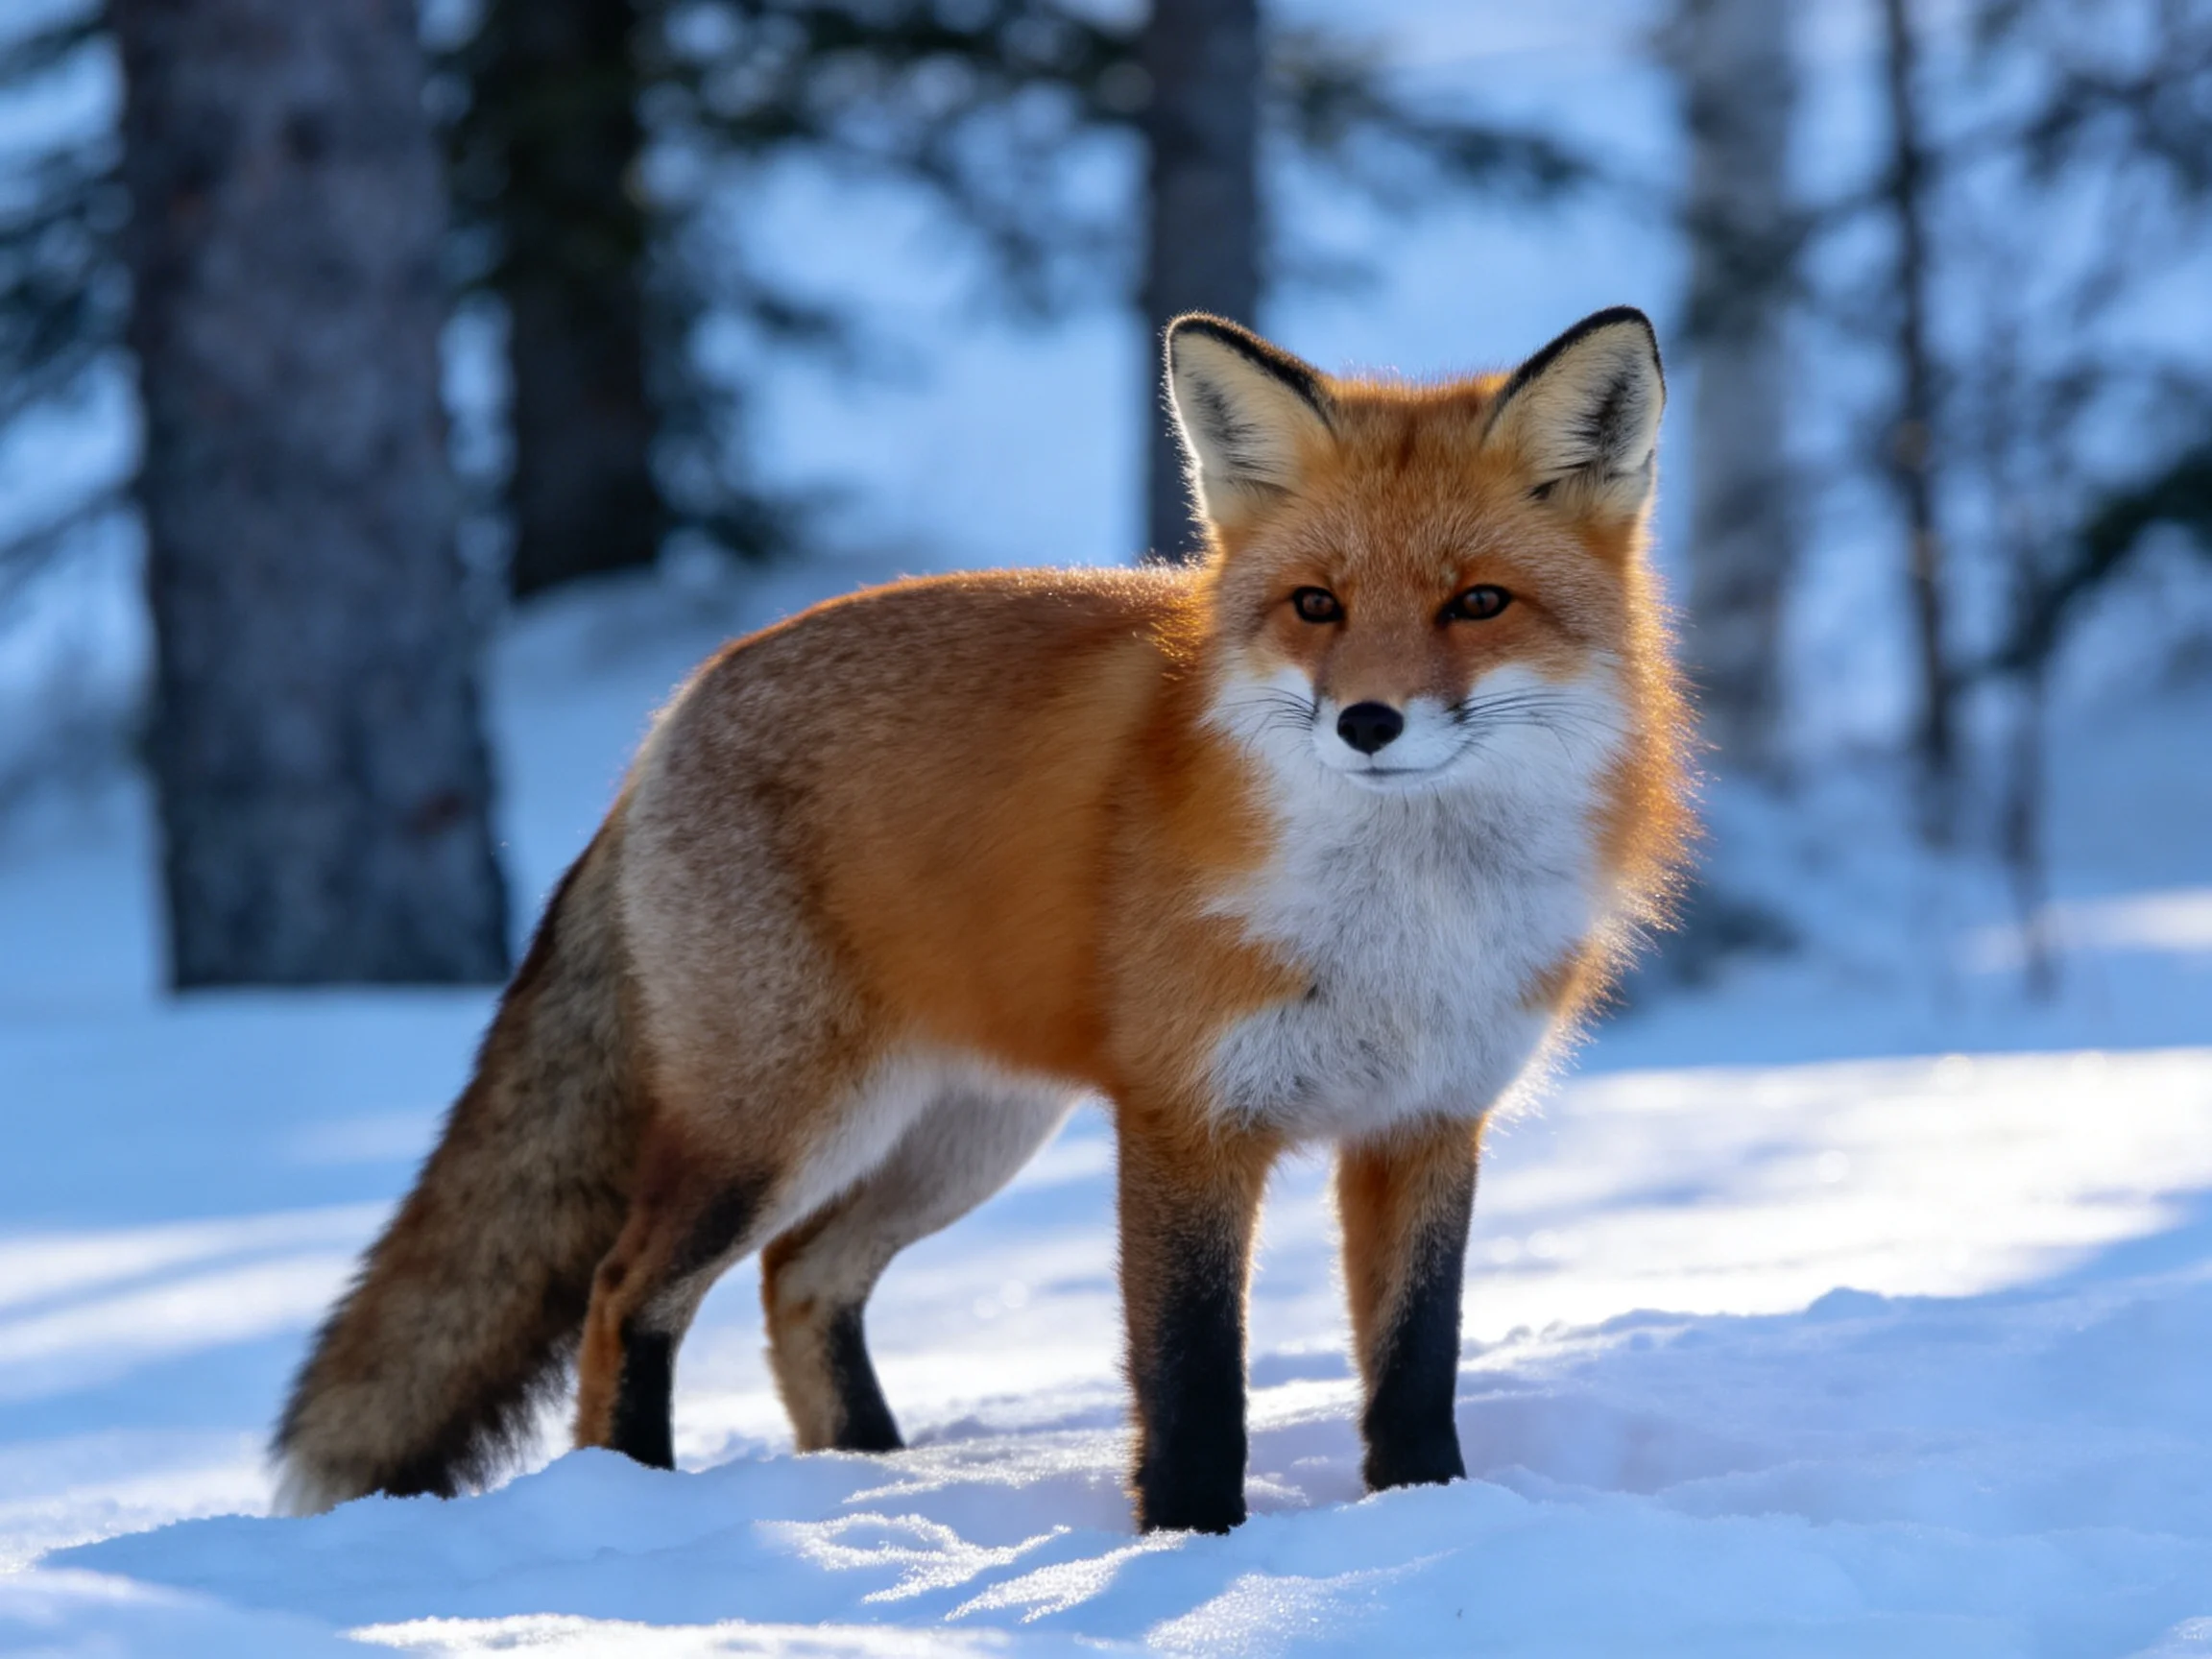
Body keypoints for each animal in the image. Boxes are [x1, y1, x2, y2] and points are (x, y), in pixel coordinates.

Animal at [274, 306, 1692, 1534]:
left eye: (1479, 602)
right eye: (1318, 606)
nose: (1367, 722)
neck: (1403, 923)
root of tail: (675, 711)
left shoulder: (1427, 1123)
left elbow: (1413, 1368)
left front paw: (1429, 1521)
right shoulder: (1187, 1122)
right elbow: (1192, 1381)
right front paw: (1192, 1545)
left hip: (962, 1135)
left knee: (803, 1280)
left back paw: (871, 1483)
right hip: (781, 1124)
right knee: (629, 1294)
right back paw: (639, 1496)